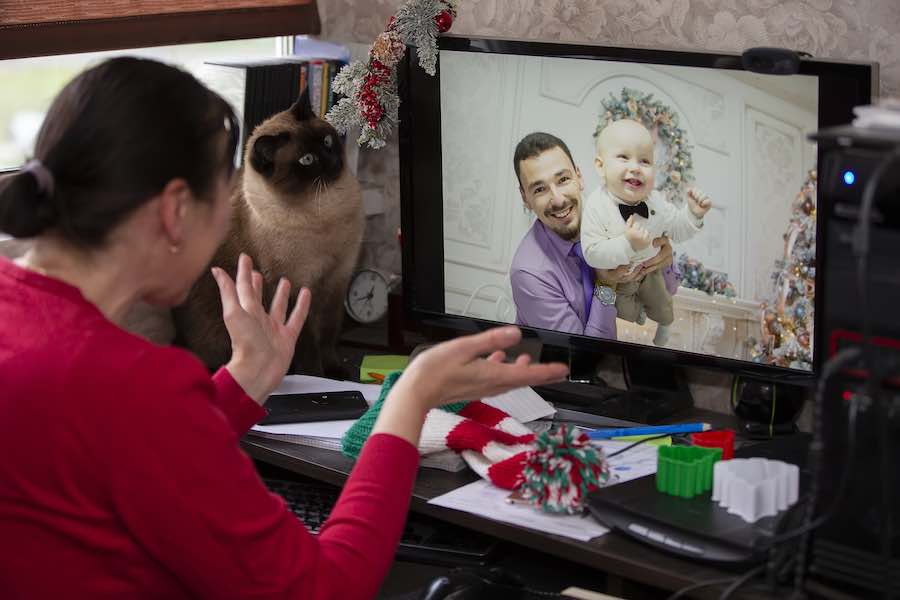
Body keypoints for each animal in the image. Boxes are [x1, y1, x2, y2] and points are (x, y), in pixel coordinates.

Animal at [172, 91, 362, 378]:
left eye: (327, 141)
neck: (325, 208)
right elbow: (307, 341)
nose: (333, 161)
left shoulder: (336, 281)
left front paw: (335, 372)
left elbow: (329, 336)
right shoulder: (295, 287)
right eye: (307, 160)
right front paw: (314, 375)